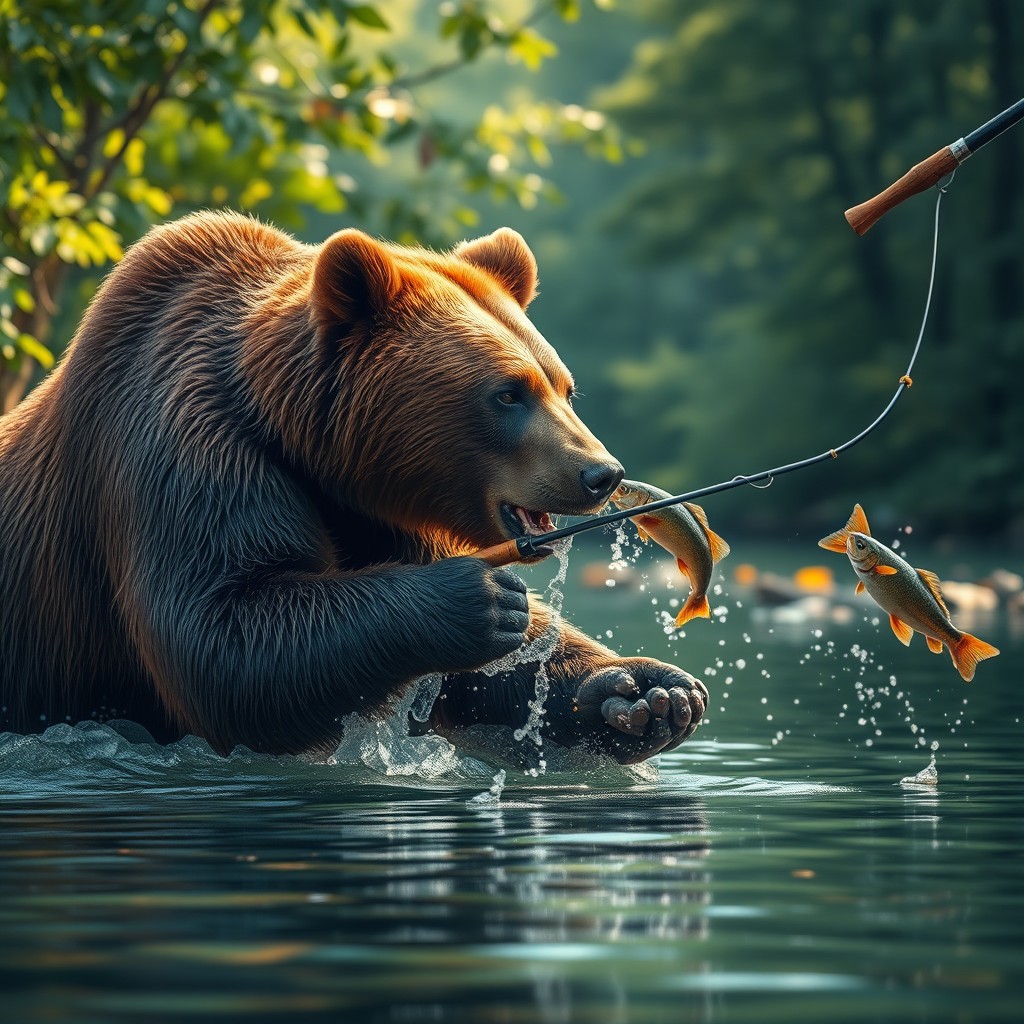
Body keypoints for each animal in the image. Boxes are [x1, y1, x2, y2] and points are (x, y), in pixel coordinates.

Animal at [0, 212, 707, 764]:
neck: (304, 447)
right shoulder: (186, 456)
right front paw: (480, 598)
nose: (600, 473)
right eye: (508, 393)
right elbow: (224, 635)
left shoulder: (381, 506)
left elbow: (481, 681)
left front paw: (648, 692)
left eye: (562, 385)